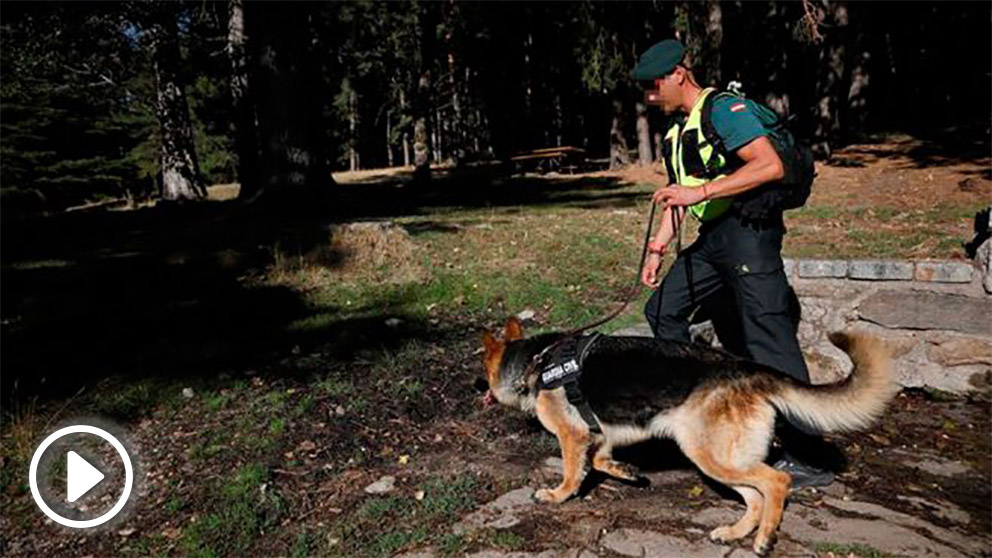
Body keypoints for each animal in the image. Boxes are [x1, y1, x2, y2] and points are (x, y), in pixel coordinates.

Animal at [482, 318, 900, 556]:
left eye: (484, 371)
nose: (477, 388)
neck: (535, 361)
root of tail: (744, 368)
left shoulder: (572, 435)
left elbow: (573, 471)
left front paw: (558, 495)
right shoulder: (602, 432)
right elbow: (600, 459)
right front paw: (626, 471)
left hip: (709, 455)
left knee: (776, 482)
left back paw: (763, 539)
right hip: (721, 460)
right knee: (755, 497)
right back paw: (733, 533)